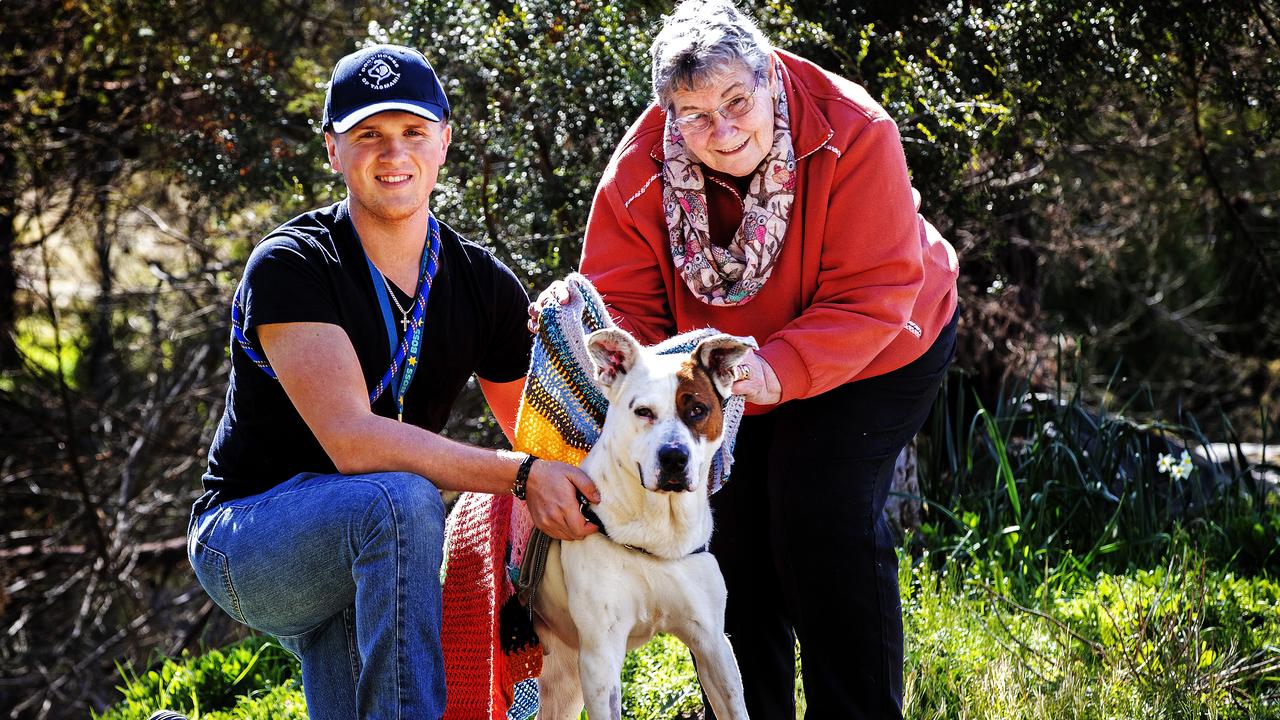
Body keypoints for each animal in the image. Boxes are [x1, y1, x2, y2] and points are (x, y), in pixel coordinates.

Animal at [532, 326, 752, 717]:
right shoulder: (600, 657)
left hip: (564, 681)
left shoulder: (713, 643)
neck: (658, 529)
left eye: (698, 409)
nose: (673, 457)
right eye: (643, 411)